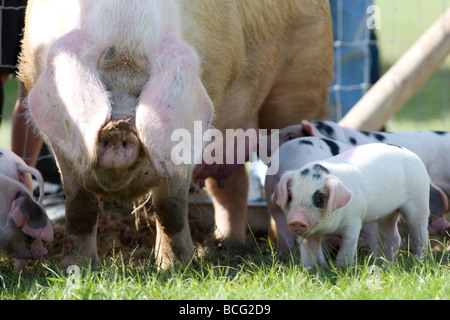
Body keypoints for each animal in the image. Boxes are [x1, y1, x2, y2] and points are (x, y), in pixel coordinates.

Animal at [18, 0, 334, 270]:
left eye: (142, 90)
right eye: (103, 86)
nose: (118, 128)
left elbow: (168, 206)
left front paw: (174, 268)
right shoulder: (61, 142)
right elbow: (80, 204)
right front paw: (75, 269)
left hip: (302, 81)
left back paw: (282, 250)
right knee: (232, 188)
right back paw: (228, 241)